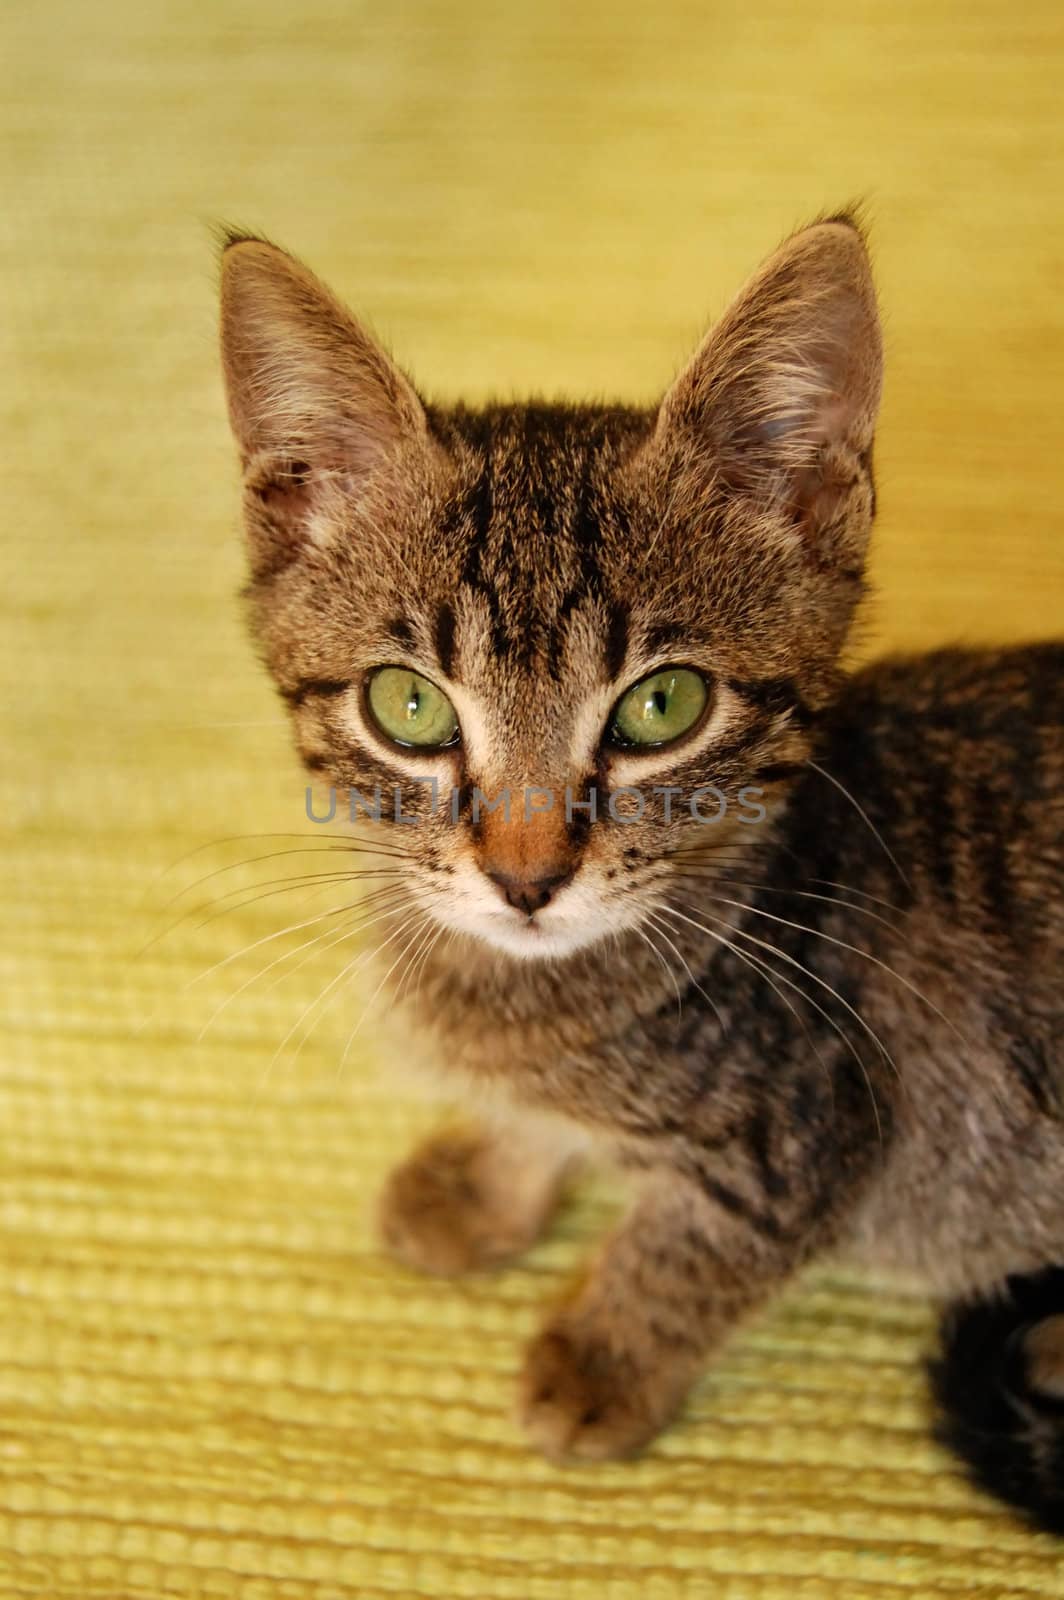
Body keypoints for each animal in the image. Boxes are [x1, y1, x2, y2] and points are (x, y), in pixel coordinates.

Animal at [217, 219, 1062, 1529]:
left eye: (661, 706)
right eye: (407, 706)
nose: (524, 875)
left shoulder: (810, 1131)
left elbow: (692, 1246)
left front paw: (602, 1355)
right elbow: (539, 1131)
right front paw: (491, 1175)